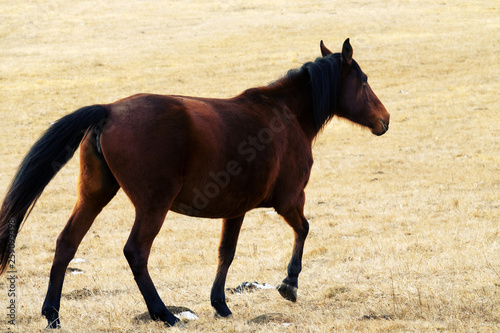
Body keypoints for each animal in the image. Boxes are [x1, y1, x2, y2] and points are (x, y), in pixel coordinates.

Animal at [0, 39, 390, 326]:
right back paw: (163, 313)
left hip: (94, 194)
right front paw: (289, 284)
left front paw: (220, 304)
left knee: (67, 243)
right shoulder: (289, 200)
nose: (385, 119)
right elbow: (304, 230)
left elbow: (226, 252)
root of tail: (110, 110)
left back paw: (53, 314)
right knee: (136, 251)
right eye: (365, 80)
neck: (286, 115)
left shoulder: (236, 209)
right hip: (152, 206)